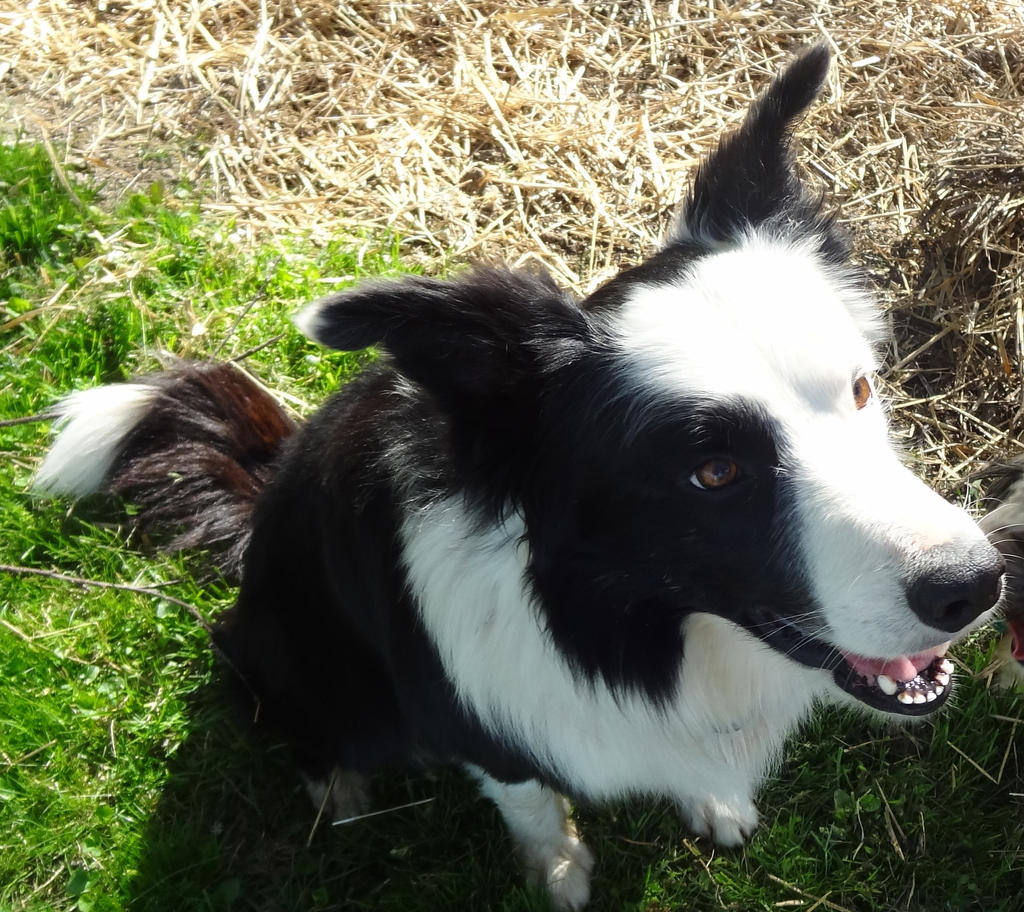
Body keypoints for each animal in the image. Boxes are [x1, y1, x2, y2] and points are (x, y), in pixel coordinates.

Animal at [36, 46, 1003, 908]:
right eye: (714, 470)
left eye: (861, 388)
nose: (978, 586)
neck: (623, 632)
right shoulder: (476, 721)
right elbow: (531, 800)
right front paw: (560, 872)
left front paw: (713, 801)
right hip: (301, 664)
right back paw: (335, 784)